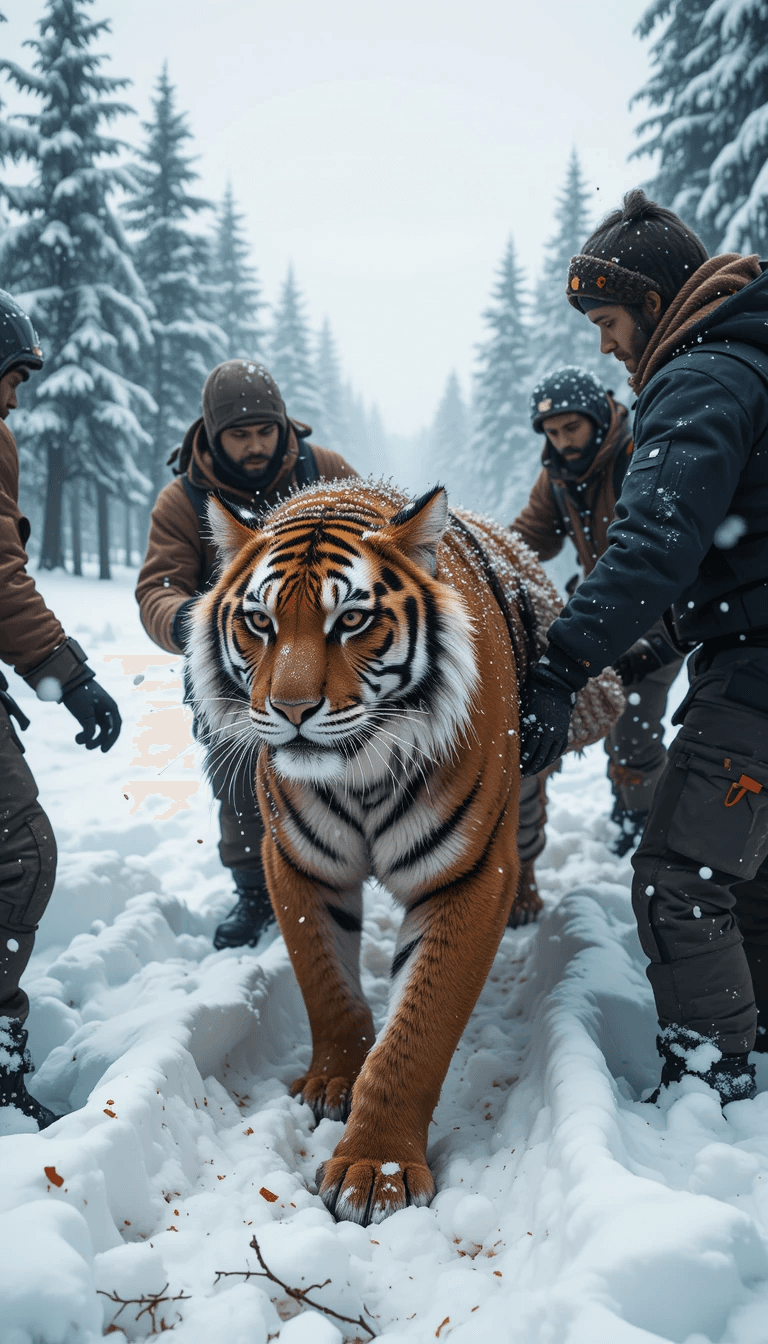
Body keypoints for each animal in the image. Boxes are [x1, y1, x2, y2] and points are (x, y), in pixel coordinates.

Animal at [186, 479, 622, 1226]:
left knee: (532, 841)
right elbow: (325, 982)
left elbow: (418, 1033)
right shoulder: (297, 864)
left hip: (527, 799)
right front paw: (333, 1079)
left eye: (352, 621)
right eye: (260, 622)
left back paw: (529, 906)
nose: (291, 710)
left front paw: (373, 1169)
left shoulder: (470, 874)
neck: (358, 774)